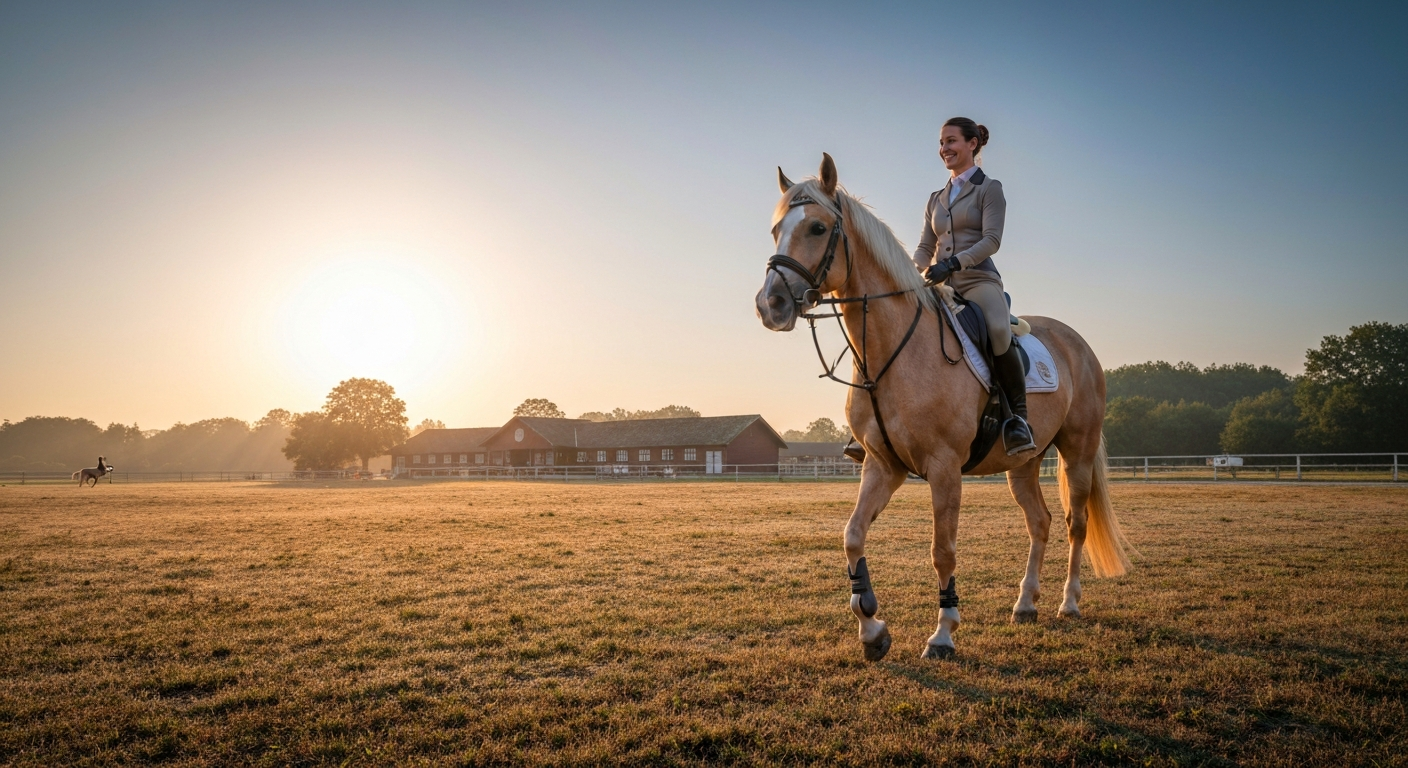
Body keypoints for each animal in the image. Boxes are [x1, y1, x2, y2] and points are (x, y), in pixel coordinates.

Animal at [755, 154, 1136, 661]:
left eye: (817, 227)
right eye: (777, 229)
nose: (770, 304)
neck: (893, 350)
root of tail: (1079, 343)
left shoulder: (944, 467)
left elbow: (943, 550)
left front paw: (943, 634)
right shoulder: (881, 465)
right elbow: (852, 536)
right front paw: (872, 627)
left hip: (1077, 451)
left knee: (1077, 523)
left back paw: (1068, 602)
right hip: (1024, 463)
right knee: (1040, 522)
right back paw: (1025, 603)